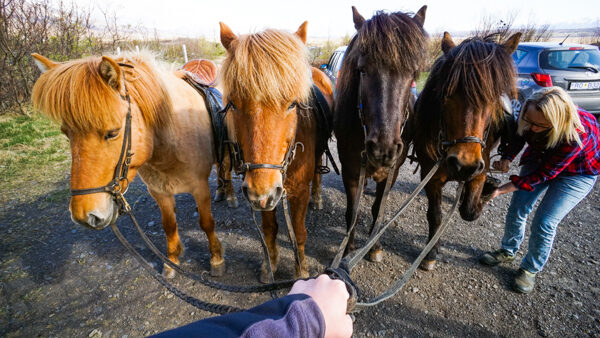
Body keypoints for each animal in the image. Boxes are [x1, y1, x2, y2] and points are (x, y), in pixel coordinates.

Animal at [31, 50, 239, 278]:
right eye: (66, 134)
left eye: (112, 133)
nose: (85, 217)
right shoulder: (159, 191)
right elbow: (169, 225)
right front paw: (172, 261)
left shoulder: (199, 187)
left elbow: (207, 222)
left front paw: (216, 259)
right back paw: (220, 191)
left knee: (225, 168)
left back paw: (230, 195)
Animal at [218, 19, 336, 282]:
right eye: (234, 104)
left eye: (292, 104)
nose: (263, 189)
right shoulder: (262, 195)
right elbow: (269, 229)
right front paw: (270, 264)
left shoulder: (297, 191)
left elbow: (299, 232)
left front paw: (301, 268)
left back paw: (318, 197)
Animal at [332, 7, 426, 262]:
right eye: (362, 70)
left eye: (413, 73)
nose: (383, 149)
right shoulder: (351, 169)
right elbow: (352, 210)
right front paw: (348, 248)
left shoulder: (392, 171)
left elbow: (378, 208)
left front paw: (373, 246)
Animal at [408, 31, 520, 270]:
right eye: (446, 94)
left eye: (494, 99)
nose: (463, 165)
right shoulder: (430, 175)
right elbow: (435, 215)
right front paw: (430, 253)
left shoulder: (480, 168)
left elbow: (469, 211)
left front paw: (483, 196)